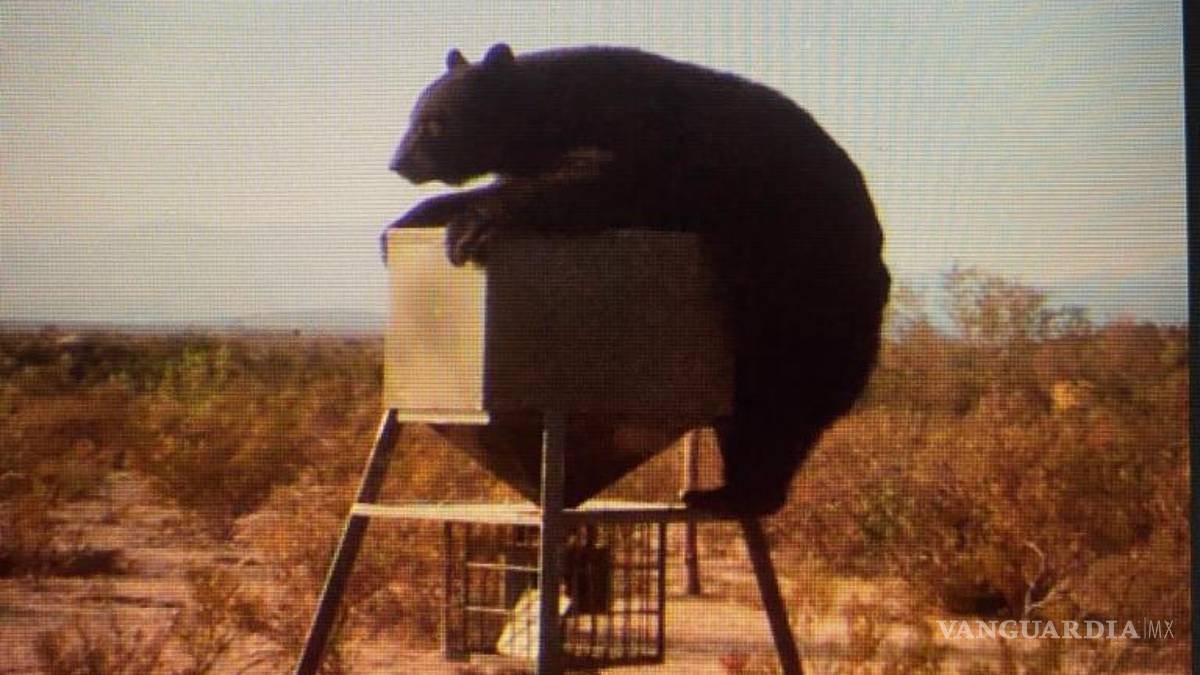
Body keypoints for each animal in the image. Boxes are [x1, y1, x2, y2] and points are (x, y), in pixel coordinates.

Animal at [385, 43, 890, 516]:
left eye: (432, 124)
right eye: (414, 117)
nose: (398, 162)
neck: (553, 111)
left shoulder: (637, 139)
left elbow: (594, 182)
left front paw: (471, 229)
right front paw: (410, 222)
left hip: (807, 295)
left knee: (778, 410)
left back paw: (732, 495)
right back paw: (722, 493)